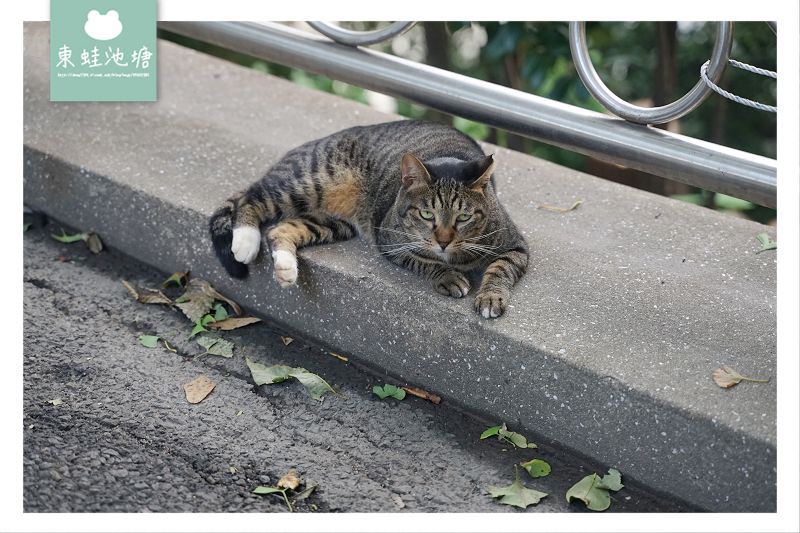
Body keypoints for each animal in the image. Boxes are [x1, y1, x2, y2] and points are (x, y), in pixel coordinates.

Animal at [209, 120, 528, 318]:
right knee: (251, 197)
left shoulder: (516, 245)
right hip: (303, 183)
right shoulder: (391, 242)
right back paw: (245, 241)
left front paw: (490, 297)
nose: (444, 242)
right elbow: (426, 262)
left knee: (279, 229)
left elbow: (501, 268)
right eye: (427, 214)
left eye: (463, 217)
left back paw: (286, 268)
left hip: (330, 222)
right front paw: (447, 275)